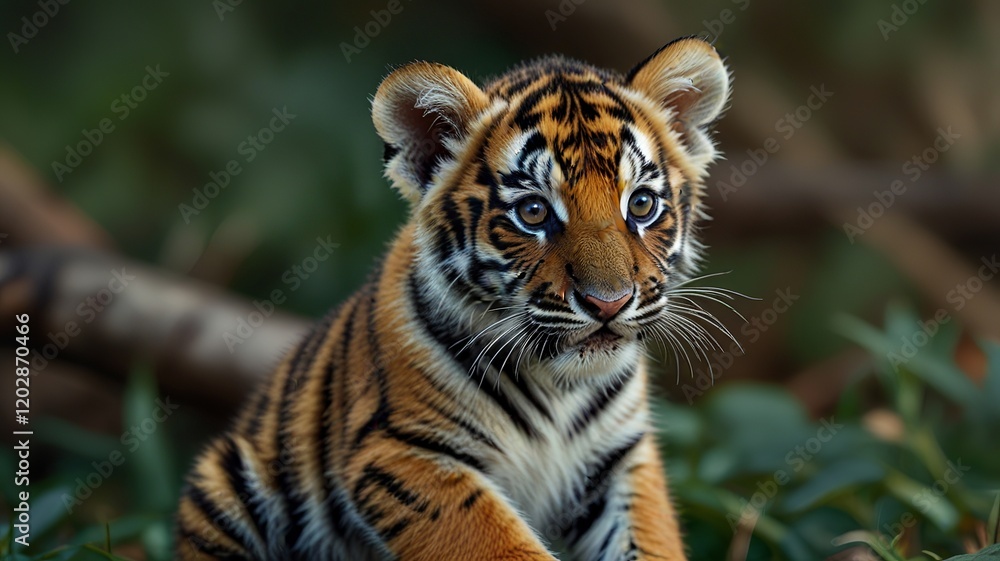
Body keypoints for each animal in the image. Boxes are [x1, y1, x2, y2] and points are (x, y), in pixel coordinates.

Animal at [175, 36, 732, 561]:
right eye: (533, 212)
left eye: (641, 204)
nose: (609, 304)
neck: (558, 384)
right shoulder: (403, 453)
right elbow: (502, 544)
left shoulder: (621, 457)